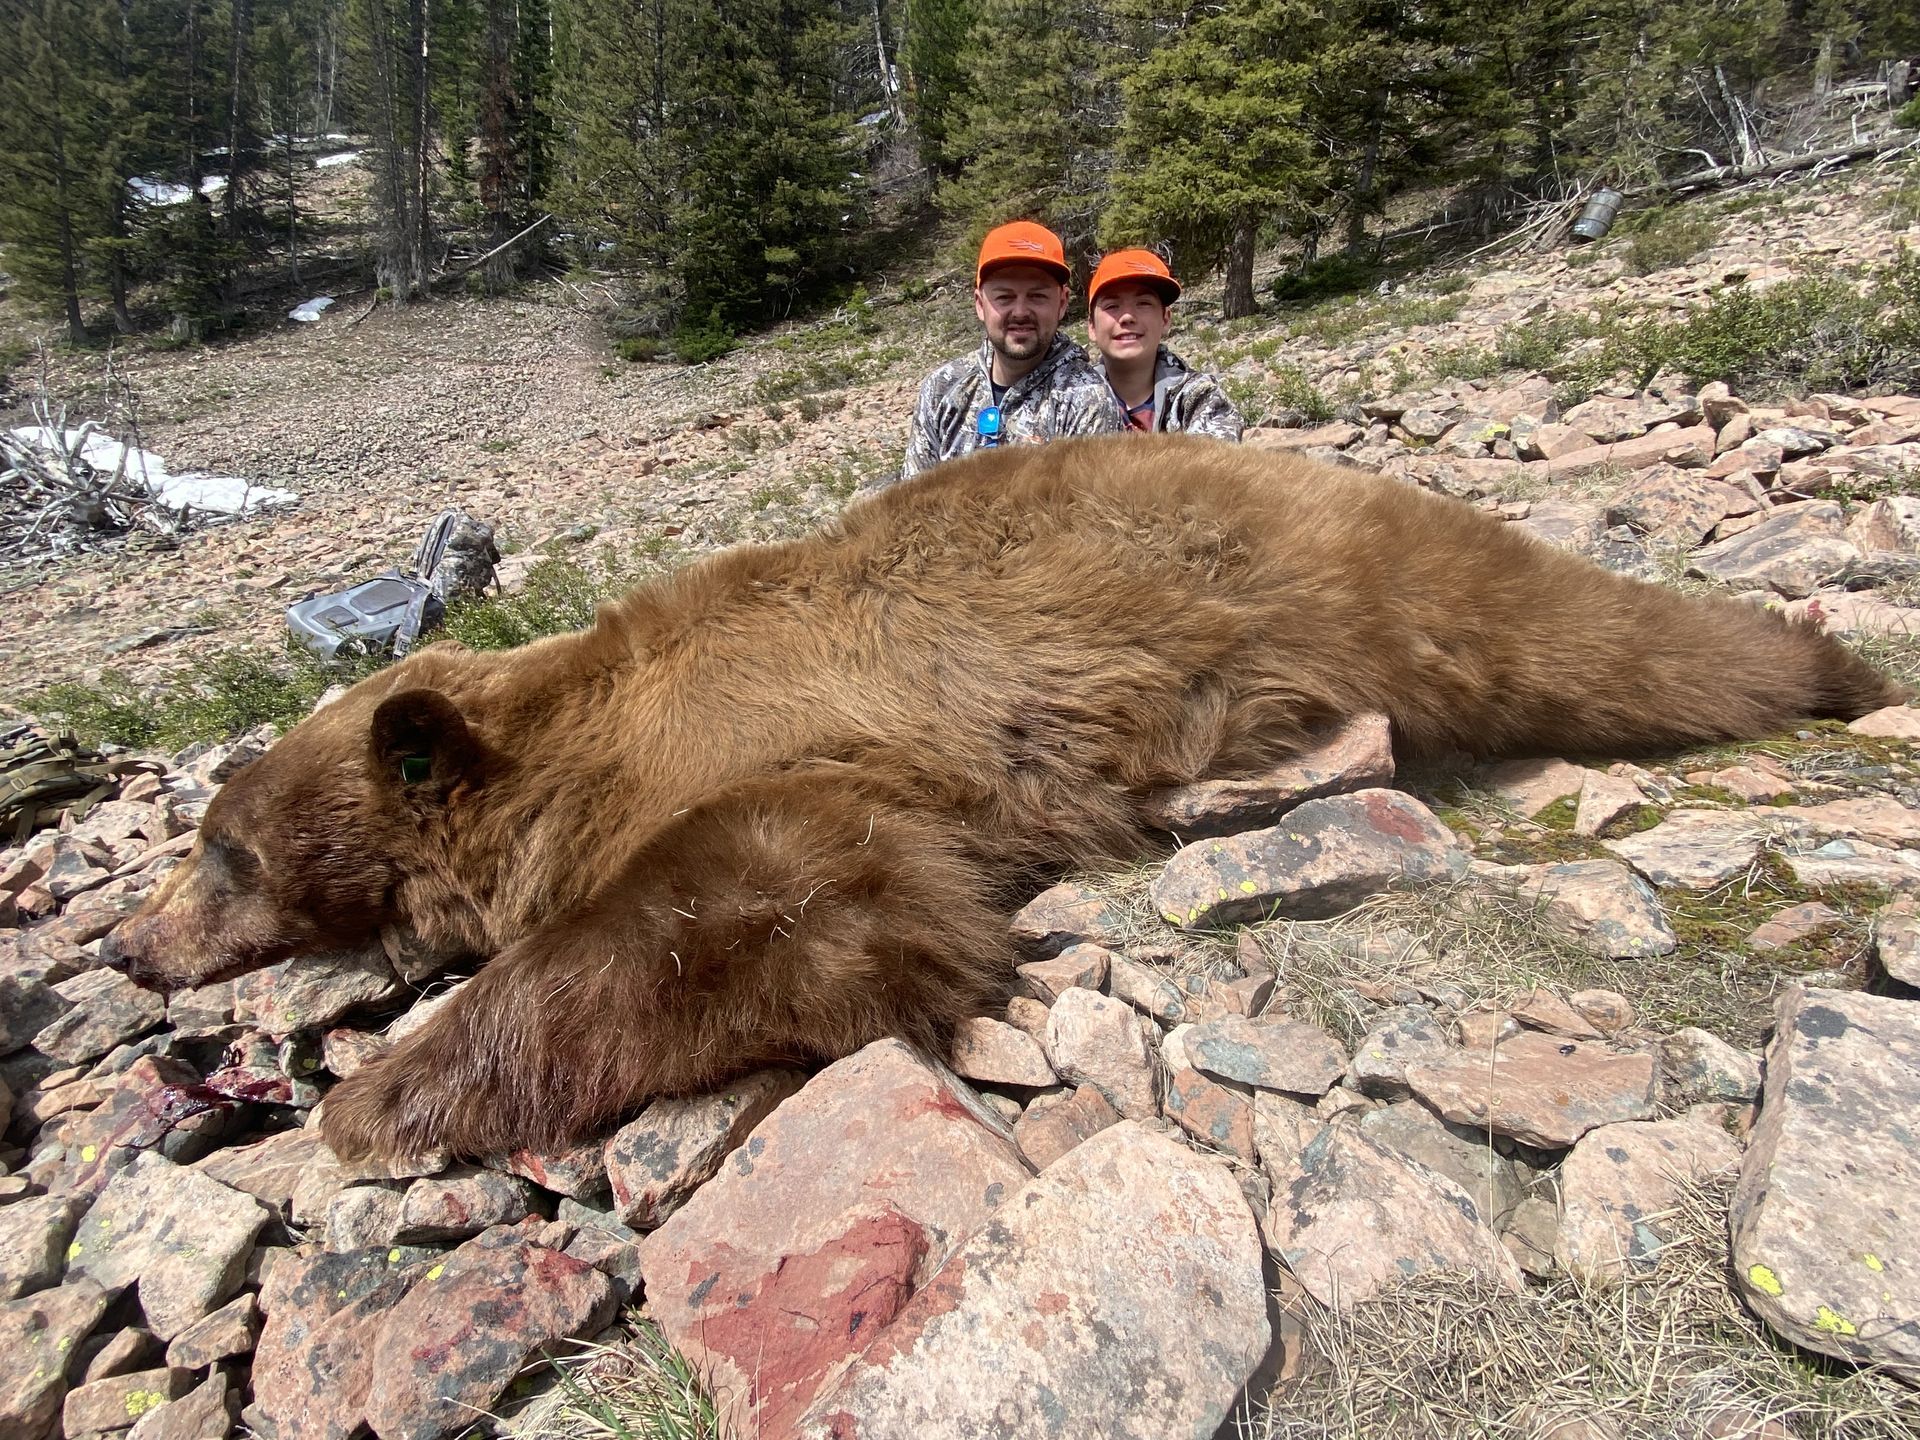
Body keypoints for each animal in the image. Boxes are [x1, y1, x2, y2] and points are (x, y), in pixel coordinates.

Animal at [104, 435, 1901, 1162]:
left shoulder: (788, 748)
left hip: (1367, 583)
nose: (125, 950)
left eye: (220, 849)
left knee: (1603, 634)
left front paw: (377, 1099)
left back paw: (1832, 662)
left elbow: (780, 901)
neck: (570, 739)